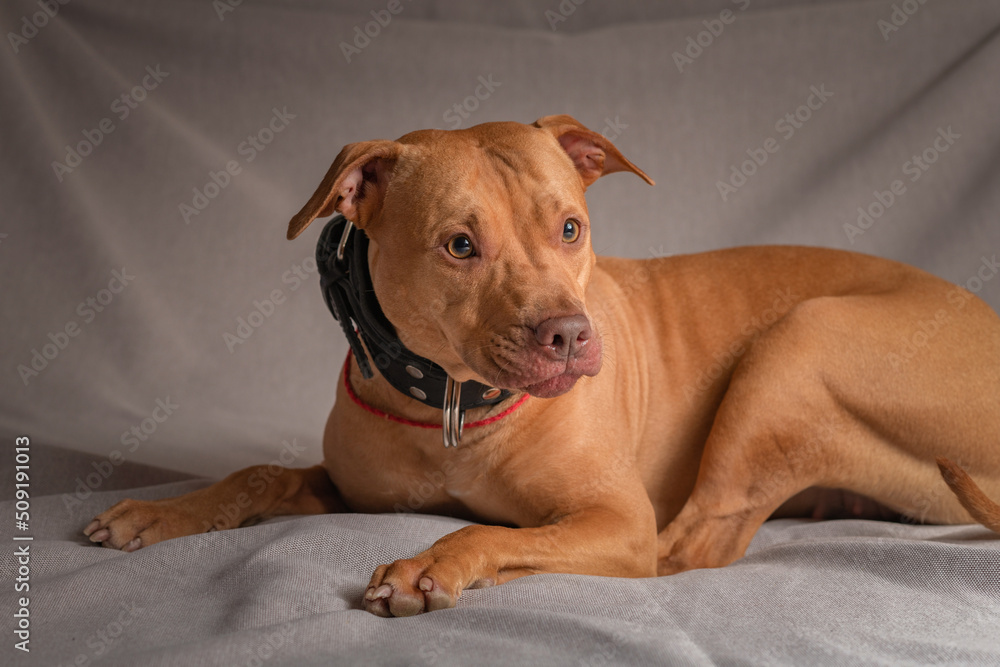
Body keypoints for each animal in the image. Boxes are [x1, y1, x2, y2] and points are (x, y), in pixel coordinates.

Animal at [85, 115, 1000, 617]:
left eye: (570, 228)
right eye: (460, 245)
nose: (567, 333)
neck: (450, 402)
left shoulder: (613, 518)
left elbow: (497, 530)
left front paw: (429, 562)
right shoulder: (350, 486)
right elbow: (260, 473)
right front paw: (162, 512)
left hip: (800, 341)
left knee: (690, 542)